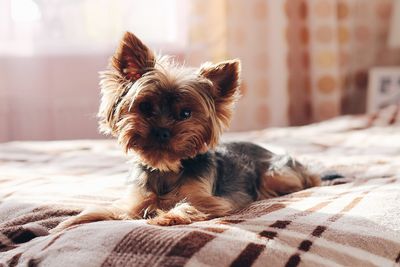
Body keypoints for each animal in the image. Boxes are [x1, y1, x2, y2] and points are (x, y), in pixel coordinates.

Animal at [53, 31, 320, 231]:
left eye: (185, 114)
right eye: (145, 107)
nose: (161, 131)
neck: (166, 169)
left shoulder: (211, 201)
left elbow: (187, 206)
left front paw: (164, 217)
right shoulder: (134, 201)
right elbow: (109, 210)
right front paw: (71, 222)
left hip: (276, 173)